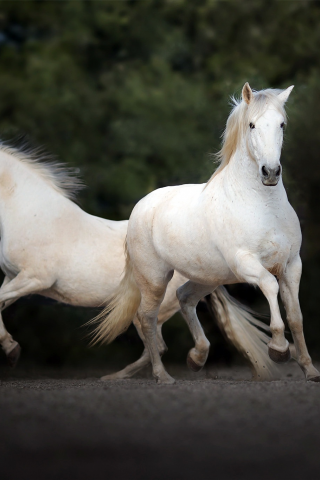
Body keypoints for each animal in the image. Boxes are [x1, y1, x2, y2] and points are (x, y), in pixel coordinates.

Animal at [0, 141, 276, 380]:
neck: (35, 216)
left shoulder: (35, 278)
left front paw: (12, 352)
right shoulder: (14, 278)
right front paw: (11, 349)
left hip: (148, 308)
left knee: (157, 344)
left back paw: (118, 377)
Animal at [95, 81, 320, 382]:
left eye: (282, 124)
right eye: (251, 125)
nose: (270, 172)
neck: (264, 206)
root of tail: (141, 208)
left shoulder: (292, 265)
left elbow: (296, 316)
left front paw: (310, 369)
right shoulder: (247, 264)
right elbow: (270, 287)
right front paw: (279, 349)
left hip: (208, 277)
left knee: (184, 298)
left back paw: (197, 357)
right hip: (154, 279)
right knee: (147, 318)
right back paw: (162, 375)